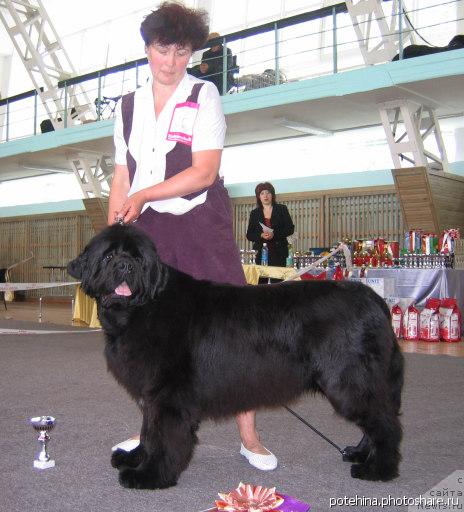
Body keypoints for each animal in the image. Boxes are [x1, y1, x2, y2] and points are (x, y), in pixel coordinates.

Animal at [68, 226, 402, 490]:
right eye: (108, 257)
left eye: (138, 259)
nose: (125, 266)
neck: (143, 307)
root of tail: (373, 299)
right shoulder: (153, 394)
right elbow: (148, 431)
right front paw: (135, 458)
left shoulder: (168, 393)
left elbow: (162, 434)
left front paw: (150, 475)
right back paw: (359, 453)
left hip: (348, 380)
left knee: (384, 423)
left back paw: (377, 469)